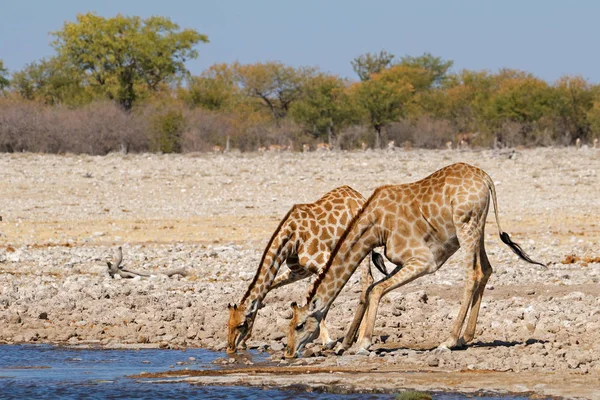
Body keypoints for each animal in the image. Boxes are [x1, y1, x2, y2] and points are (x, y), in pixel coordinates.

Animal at [226, 185, 390, 354]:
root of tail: (358, 196)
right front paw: (244, 342)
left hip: (362, 246)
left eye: (241, 324)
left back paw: (360, 337)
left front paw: (327, 341)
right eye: (228, 324)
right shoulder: (299, 271)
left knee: (368, 281)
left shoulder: (324, 262)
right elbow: (273, 288)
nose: (230, 348)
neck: (291, 238)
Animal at [286, 164, 544, 358]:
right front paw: (347, 343)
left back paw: (449, 340)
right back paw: (466, 337)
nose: (289, 352)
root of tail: (485, 178)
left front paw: (362, 343)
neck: (376, 227)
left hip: (466, 226)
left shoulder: (424, 261)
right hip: (477, 227)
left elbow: (376, 290)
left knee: (474, 273)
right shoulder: (402, 261)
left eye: (299, 325)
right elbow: (371, 289)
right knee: (487, 269)